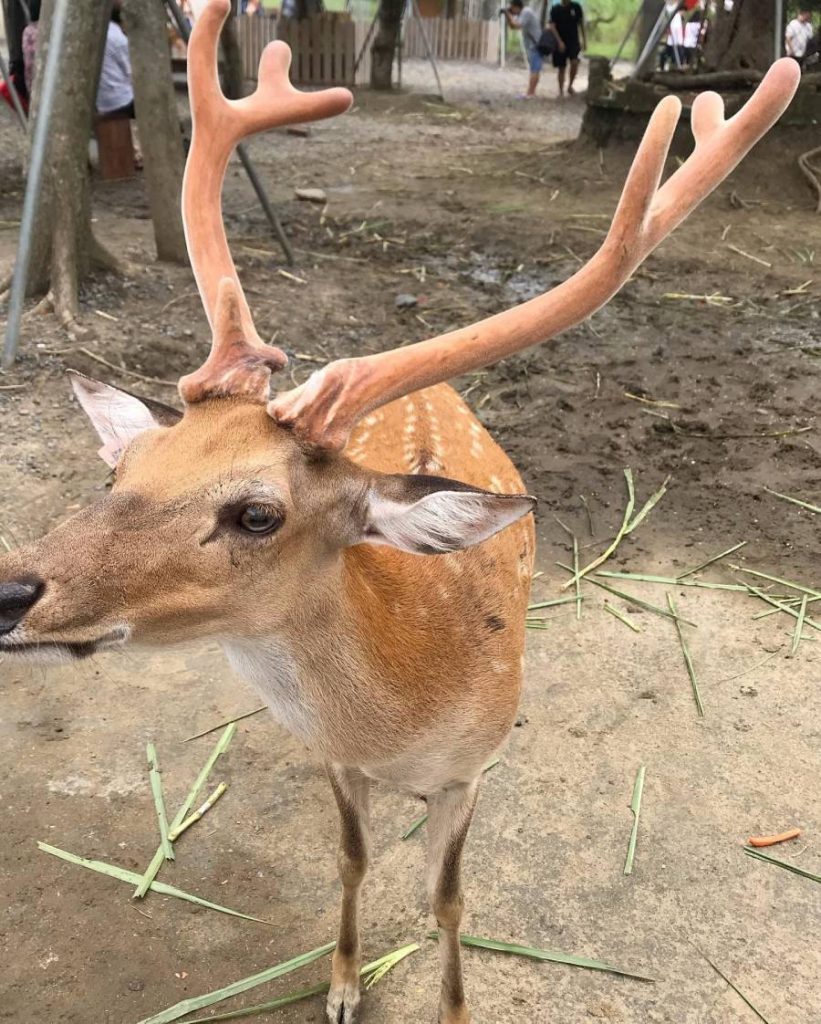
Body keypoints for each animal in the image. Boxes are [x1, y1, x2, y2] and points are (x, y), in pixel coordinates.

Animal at [0, 1, 798, 1019]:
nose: (12, 590)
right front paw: (342, 985)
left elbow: (448, 899)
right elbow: (351, 859)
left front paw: (452, 1003)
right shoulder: (335, 760)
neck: (403, 719)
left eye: (257, 514)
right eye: (120, 470)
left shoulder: (469, 771)